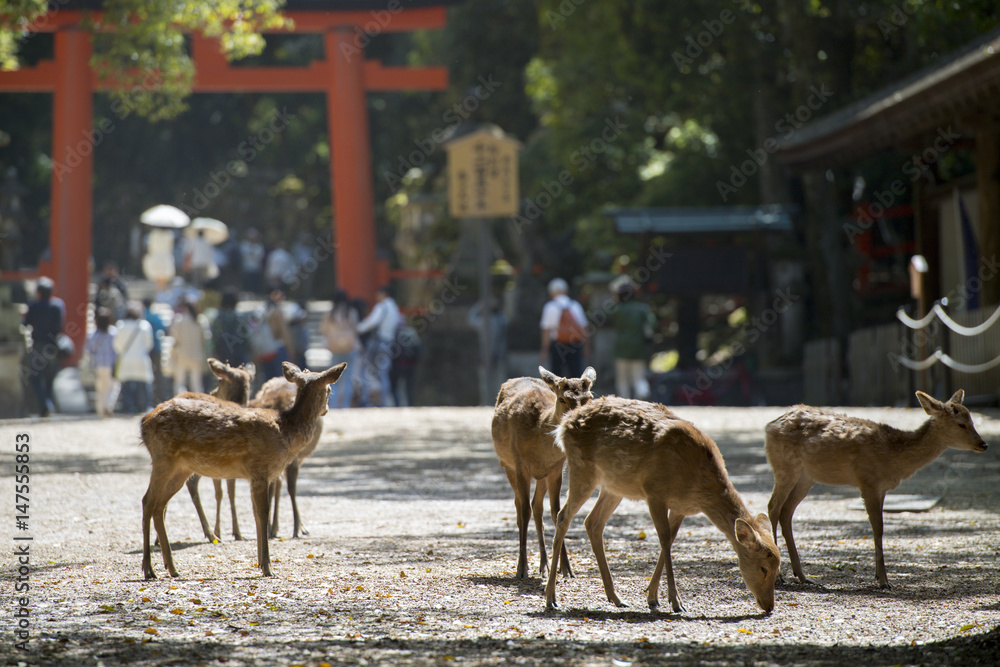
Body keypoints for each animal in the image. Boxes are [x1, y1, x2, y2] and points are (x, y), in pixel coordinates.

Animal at [246, 378, 324, 540]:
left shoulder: (292, 459)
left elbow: (291, 488)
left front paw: (297, 528)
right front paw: (272, 528)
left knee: (282, 484)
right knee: (278, 484)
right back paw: (274, 528)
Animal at [490, 366, 592, 580]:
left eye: (589, 397)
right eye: (562, 399)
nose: (580, 421)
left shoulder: (556, 468)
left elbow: (557, 512)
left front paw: (566, 569)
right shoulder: (520, 465)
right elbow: (524, 511)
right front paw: (521, 569)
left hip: (542, 476)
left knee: (536, 506)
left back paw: (544, 565)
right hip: (508, 466)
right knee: (520, 507)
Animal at [548, 396, 780, 616]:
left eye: (778, 569)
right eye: (763, 568)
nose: (769, 606)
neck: (697, 484)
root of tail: (563, 424)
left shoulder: (680, 507)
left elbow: (670, 539)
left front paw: (652, 598)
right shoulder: (655, 493)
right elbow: (665, 539)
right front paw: (676, 602)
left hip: (613, 486)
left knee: (592, 523)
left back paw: (616, 597)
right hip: (582, 469)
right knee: (563, 516)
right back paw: (551, 598)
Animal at [764, 388, 984, 588]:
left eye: (973, 421)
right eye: (961, 424)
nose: (983, 444)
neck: (894, 454)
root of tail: (769, 426)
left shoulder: (882, 488)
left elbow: (879, 527)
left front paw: (880, 577)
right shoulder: (868, 481)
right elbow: (878, 527)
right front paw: (884, 581)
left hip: (806, 477)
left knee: (786, 511)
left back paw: (802, 576)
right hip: (784, 466)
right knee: (772, 507)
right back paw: (779, 576)